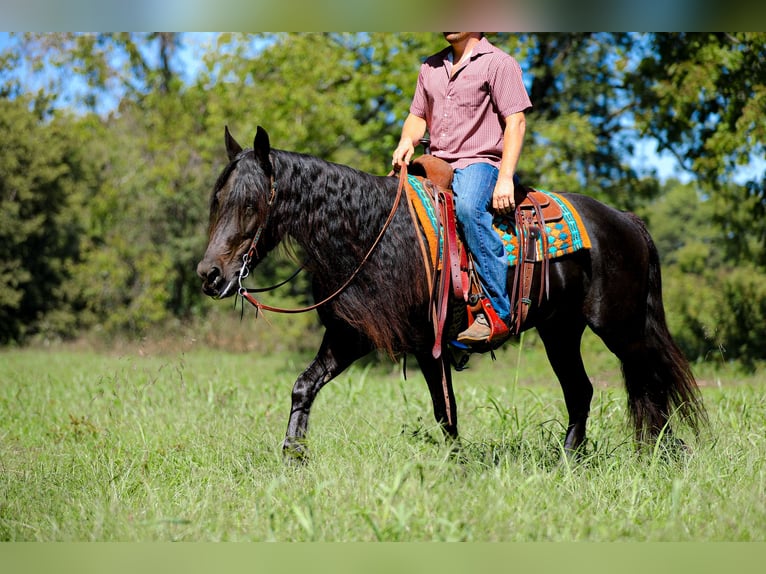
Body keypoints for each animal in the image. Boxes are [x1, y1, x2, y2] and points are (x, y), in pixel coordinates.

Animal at [196, 126, 707, 461]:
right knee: (582, 390)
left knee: (652, 382)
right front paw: (293, 455)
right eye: (217, 200)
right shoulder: (349, 335)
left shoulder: (431, 343)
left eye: (251, 204)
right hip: (560, 331)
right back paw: (569, 461)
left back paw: (664, 453)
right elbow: (304, 385)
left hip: (621, 328)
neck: (375, 235)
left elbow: (446, 412)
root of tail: (626, 220)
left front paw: (456, 468)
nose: (210, 275)